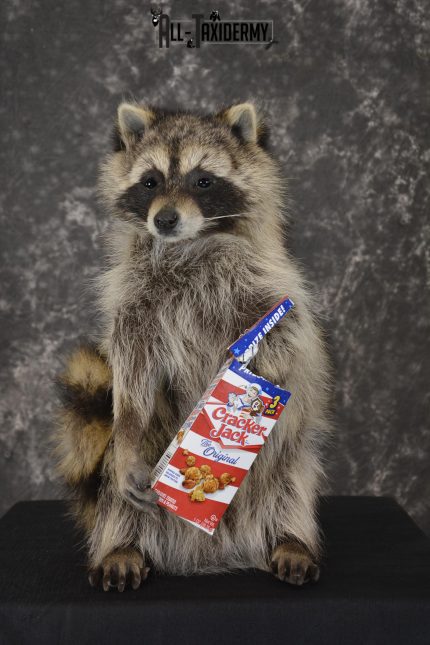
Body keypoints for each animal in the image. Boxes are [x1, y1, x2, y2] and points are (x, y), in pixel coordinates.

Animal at [54, 101, 332, 592]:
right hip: (140, 465)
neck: (190, 244)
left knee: (292, 483)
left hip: (288, 465)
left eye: (203, 180)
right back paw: (121, 546)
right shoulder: (134, 300)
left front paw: (251, 388)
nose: (164, 219)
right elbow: (132, 368)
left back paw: (290, 540)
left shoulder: (268, 283)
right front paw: (129, 416)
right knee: (118, 495)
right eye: (150, 181)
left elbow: (288, 343)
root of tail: (211, 553)